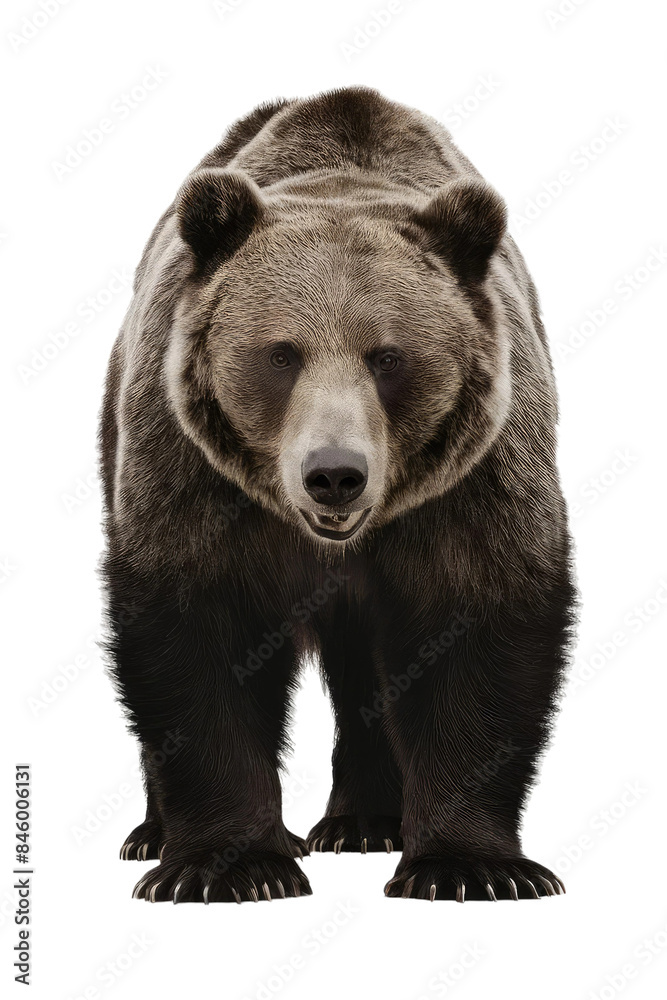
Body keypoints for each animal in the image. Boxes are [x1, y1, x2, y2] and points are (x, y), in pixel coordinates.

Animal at [100, 85, 575, 903]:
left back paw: (364, 823)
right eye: (281, 354)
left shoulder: (472, 486)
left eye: (388, 357)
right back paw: (152, 834)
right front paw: (229, 867)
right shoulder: (194, 475)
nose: (334, 472)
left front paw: (470, 866)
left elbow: (476, 626)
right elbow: (195, 631)